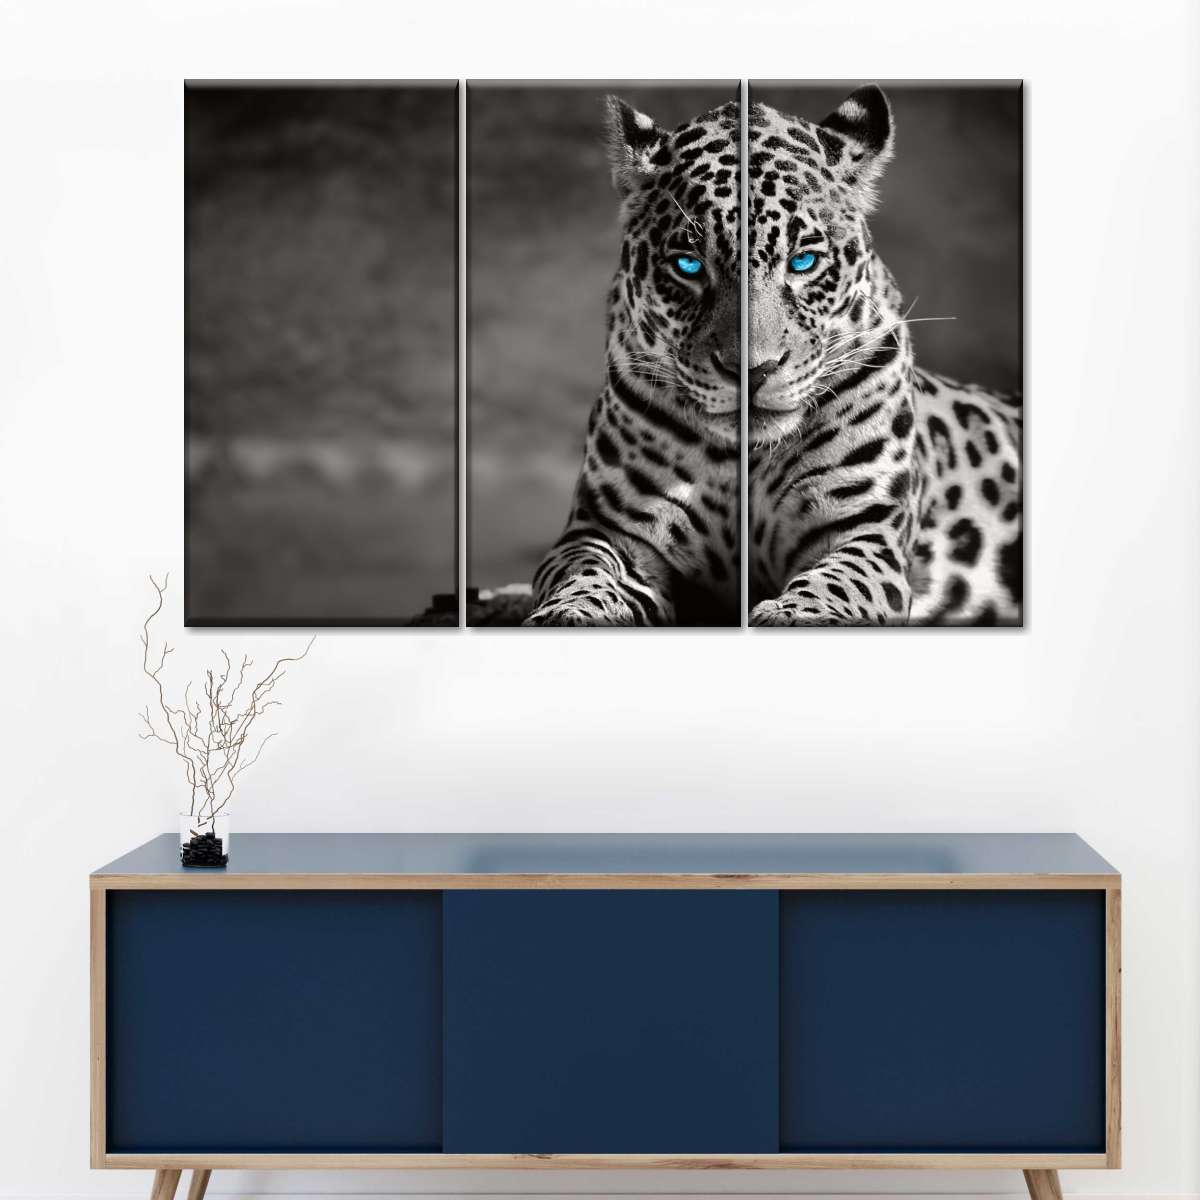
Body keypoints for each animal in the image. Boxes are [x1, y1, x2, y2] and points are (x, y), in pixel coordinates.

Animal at [525, 85, 1022, 627]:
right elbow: (584, 573)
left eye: (803, 261)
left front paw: (794, 614)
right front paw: (571, 613)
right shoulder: (608, 528)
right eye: (688, 265)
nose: (751, 370)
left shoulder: (865, 530)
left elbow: (836, 584)